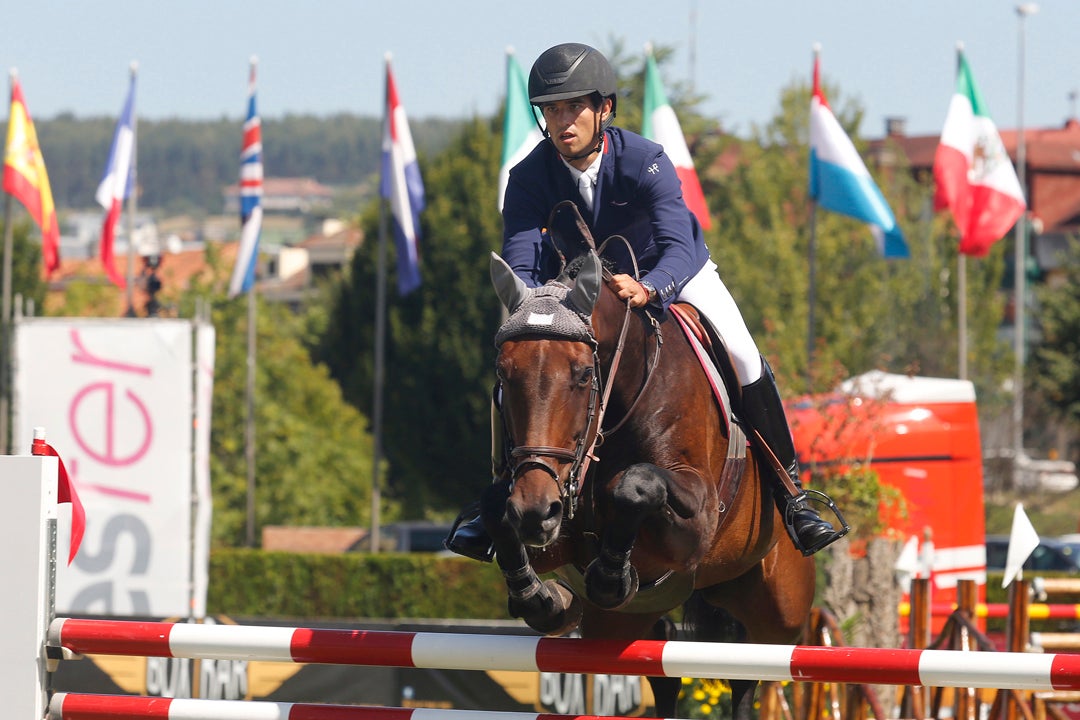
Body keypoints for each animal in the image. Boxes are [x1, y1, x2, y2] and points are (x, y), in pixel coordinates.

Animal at [481, 249, 816, 720]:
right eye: (504, 374)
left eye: (582, 375)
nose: (535, 512)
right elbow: (497, 507)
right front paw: (542, 596)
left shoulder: (697, 522)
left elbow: (636, 486)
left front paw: (609, 575)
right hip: (625, 623)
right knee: (664, 659)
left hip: (779, 614)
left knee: (746, 668)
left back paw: (805, 517)